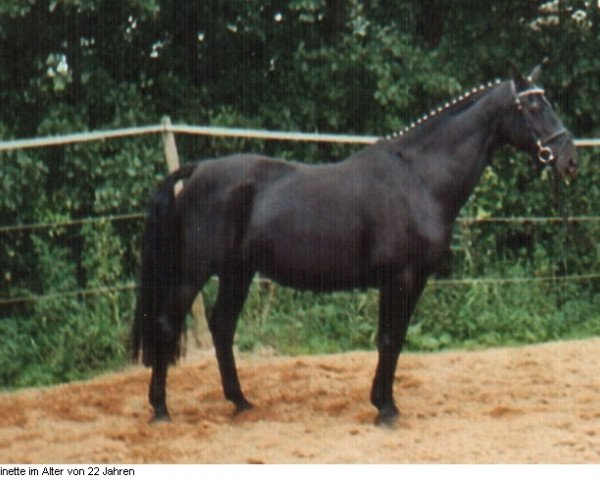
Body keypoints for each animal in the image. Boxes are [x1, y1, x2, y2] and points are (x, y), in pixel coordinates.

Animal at [132, 65, 576, 426]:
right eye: (533, 106)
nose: (569, 159)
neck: (418, 178)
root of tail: (196, 171)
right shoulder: (399, 278)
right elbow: (388, 339)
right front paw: (385, 409)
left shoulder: (414, 281)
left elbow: (396, 339)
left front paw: (386, 403)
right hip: (193, 273)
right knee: (168, 325)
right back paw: (161, 409)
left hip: (237, 273)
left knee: (222, 327)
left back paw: (241, 402)